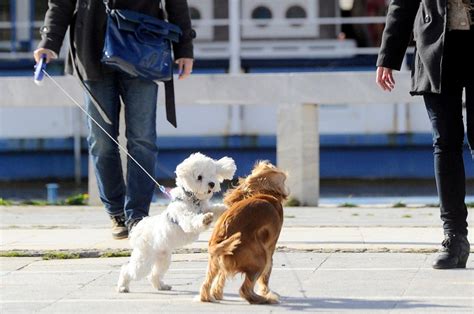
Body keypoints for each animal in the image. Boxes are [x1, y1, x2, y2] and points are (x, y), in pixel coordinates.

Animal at [117, 153, 236, 294]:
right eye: (199, 177)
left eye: (212, 173)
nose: (212, 184)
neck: (192, 200)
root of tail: (139, 229)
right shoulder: (184, 217)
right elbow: (193, 220)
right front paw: (205, 219)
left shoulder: (207, 207)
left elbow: (216, 209)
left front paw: (228, 208)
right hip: (143, 260)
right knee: (127, 270)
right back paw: (122, 286)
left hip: (163, 258)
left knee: (154, 274)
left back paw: (161, 286)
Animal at [199, 161, 288, 302]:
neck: (264, 193)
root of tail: (223, 233)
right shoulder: (270, 249)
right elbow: (266, 276)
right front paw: (265, 291)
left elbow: (222, 276)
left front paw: (217, 292)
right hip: (260, 257)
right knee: (245, 289)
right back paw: (265, 299)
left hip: (215, 259)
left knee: (206, 284)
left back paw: (208, 297)